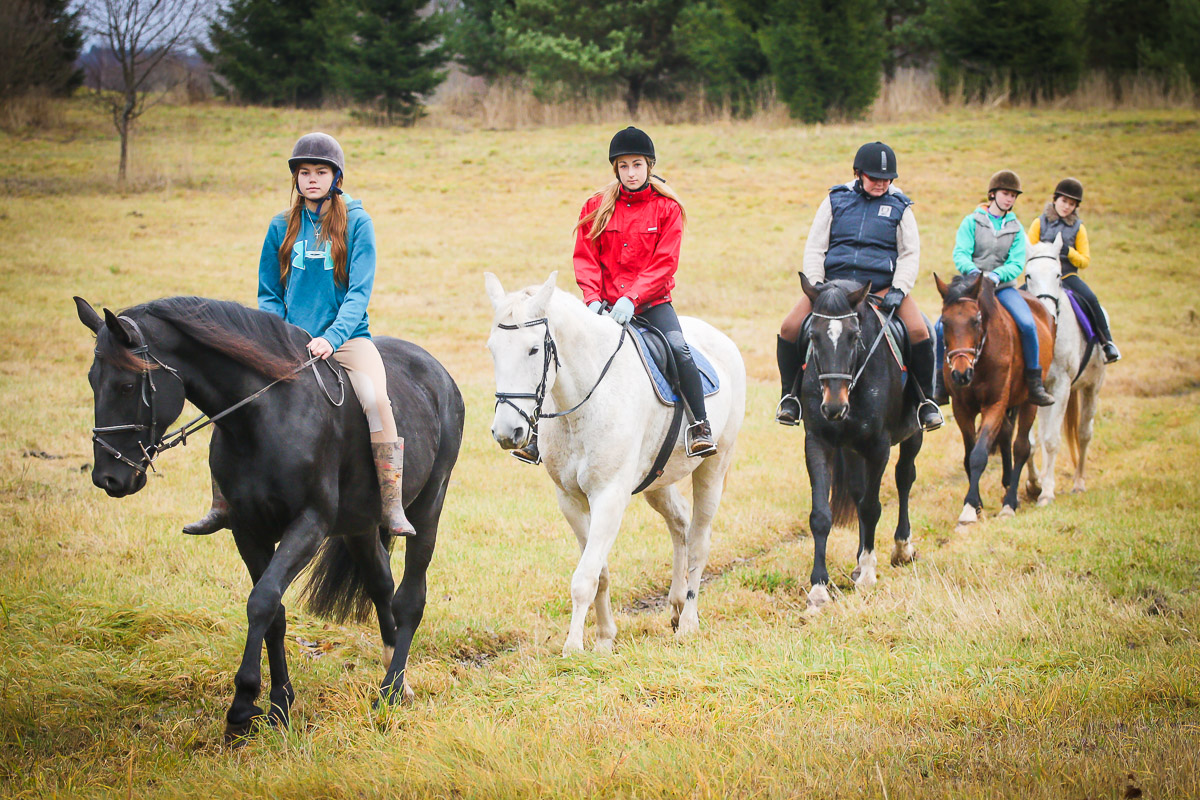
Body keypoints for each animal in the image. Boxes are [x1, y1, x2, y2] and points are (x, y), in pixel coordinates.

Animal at [72, 297, 460, 743]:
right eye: (92, 380)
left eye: (126, 385)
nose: (108, 478)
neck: (263, 415)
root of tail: (438, 373)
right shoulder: (248, 531)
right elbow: (273, 612)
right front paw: (278, 706)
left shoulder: (309, 525)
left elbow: (261, 601)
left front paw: (242, 705)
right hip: (360, 525)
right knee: (381, 585)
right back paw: (399, 680)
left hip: (429, 505)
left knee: (410, 597)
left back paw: (390, 693)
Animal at [482, 272, 744, 652]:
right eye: (493, 349)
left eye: (533, 349)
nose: (507, 432)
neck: (585, 401)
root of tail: (722, 340)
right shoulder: (571, 500)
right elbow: (598, 572)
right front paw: (605, 637)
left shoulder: (609, 496)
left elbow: (584, 577)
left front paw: (573, 647)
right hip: (657, 480)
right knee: (679, 522)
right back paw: (677, 605)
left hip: (715, 465)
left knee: (698, 540)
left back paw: (689, 622)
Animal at [801, 278, 921, 609]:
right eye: (813, 336)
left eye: (854, 336)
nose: (833, 407)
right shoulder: (817, 443)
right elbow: (821, 515)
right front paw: (819, 587)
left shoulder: (878, 447)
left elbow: (871, 507)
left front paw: (868, 574)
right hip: (852, 449)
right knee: (858, 491)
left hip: (912, 434)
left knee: (904, 479)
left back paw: (901, 548)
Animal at [931, 275, 1056, 532]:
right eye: (945, 322)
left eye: (976, 320)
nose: (961, 374)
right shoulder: (962, 410)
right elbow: (969, 456)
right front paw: (977, 505)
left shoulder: (995, 405)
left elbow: (979, 454)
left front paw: (969, 509)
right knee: (1007, 436)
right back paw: (1007, 485)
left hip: (1029, 401)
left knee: (1021, 447)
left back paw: (1010, 502)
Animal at [1022, 235, 1104, 503]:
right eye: (1028, 275)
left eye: (1058, 275)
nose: (1045, 313)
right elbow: (1031, 442)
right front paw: (1034, 485)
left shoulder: (1061, 385)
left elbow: (1051, 440)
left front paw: (1046, 492)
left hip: (1092, 387)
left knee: (1084, 433)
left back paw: (1078, 482)